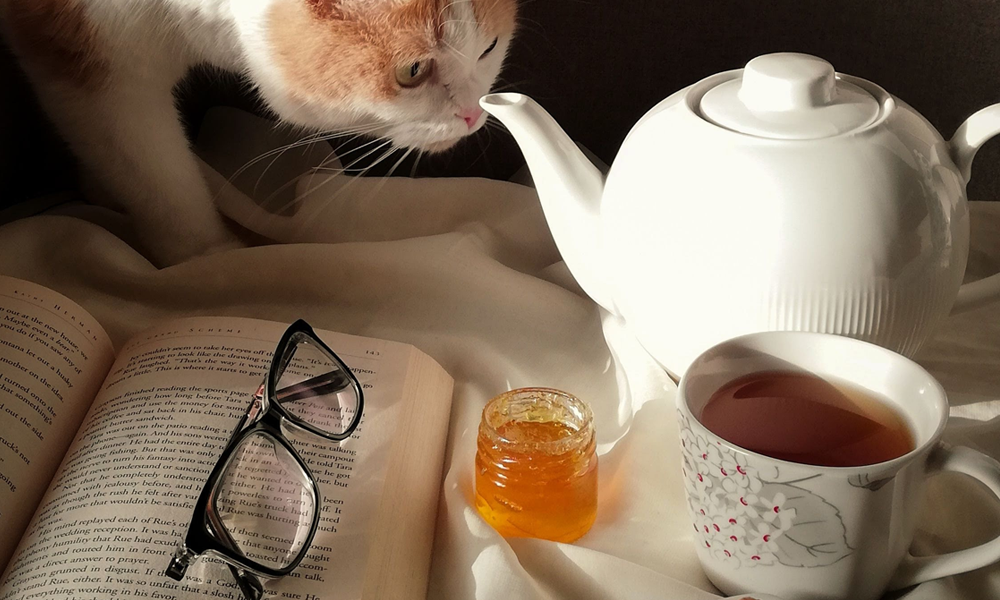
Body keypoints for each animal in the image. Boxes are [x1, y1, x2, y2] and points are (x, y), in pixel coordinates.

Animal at [1, 0, 517, 265]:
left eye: (489, 47)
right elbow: (157, 180)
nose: (472, 114)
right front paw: (204, 260)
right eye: (412, 71)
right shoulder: (95, 74)